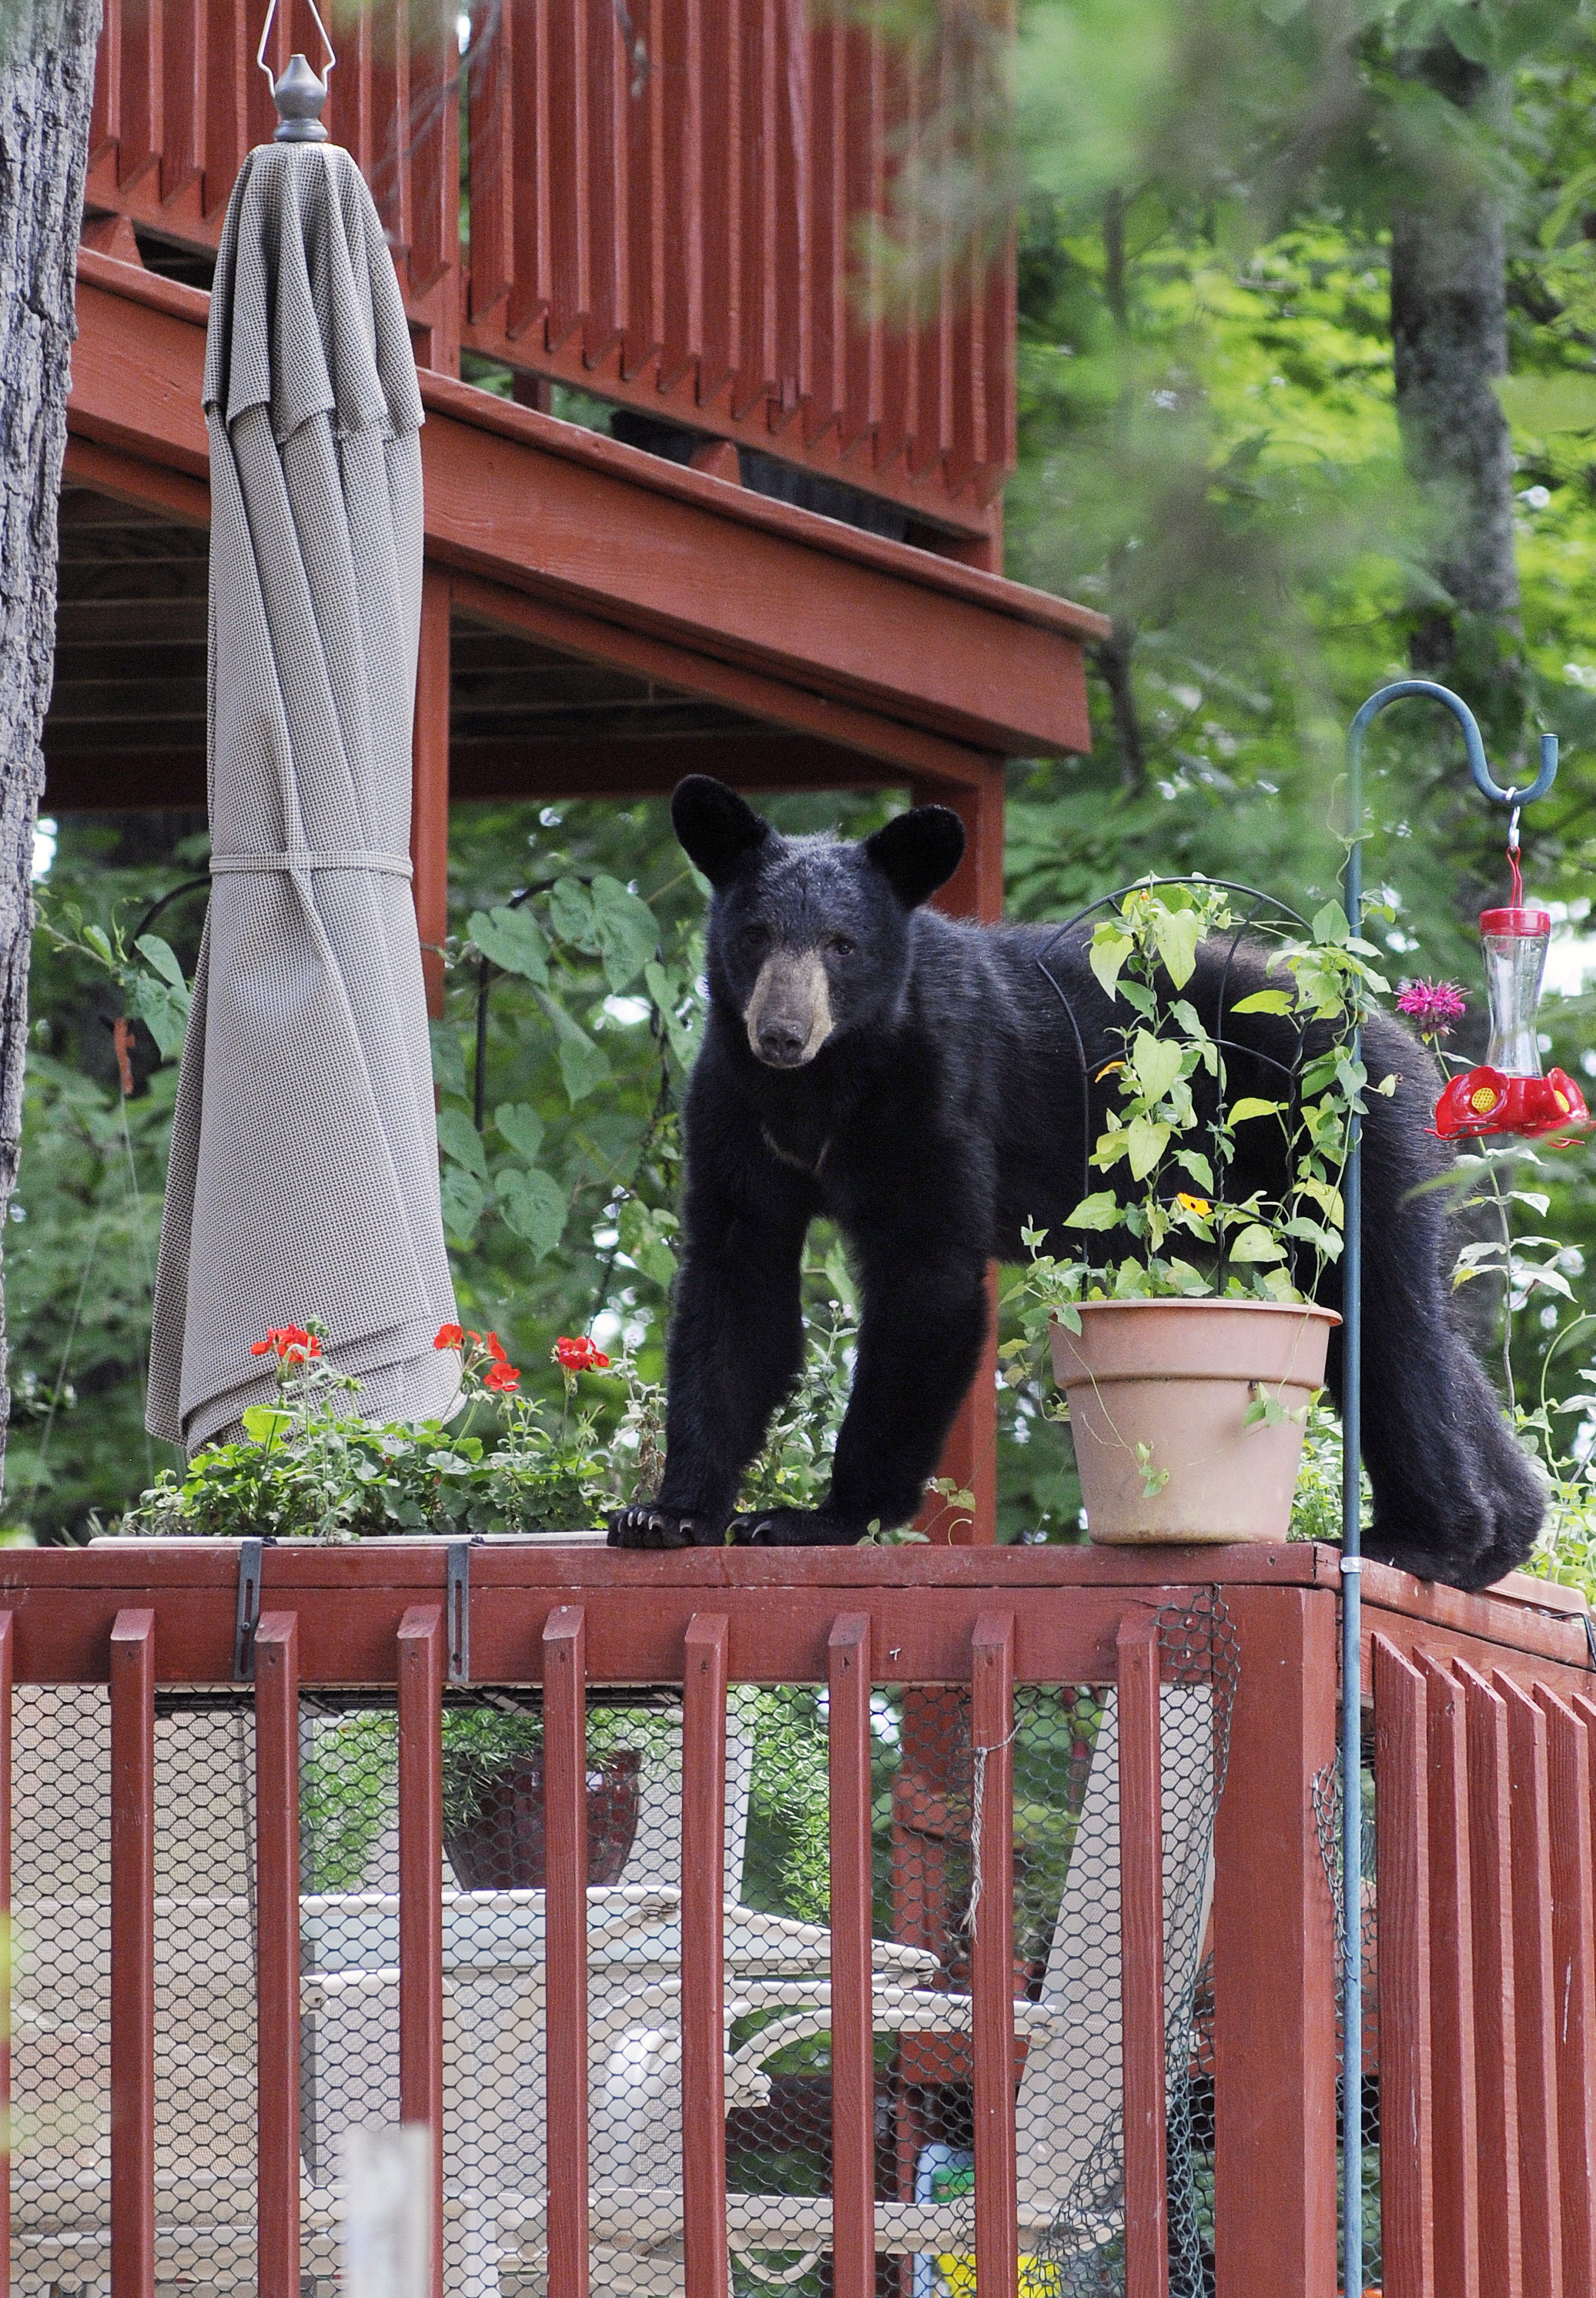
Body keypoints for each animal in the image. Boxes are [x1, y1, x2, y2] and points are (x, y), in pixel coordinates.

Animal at [611, 767, 1554, 1581]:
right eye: (755, 935)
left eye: (843, 946)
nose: (781, 1030)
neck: (822, 1089)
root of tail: (1404, 1048)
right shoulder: (733, 1110)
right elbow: (737, 1286)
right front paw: (666, 1511)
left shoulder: (938, 1093)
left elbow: (927, 1281)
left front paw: (820, 1517)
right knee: (1420, 1336)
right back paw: (1508, 1530)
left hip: (1343, 1155)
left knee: (1385, 1321)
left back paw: (1424, 1539)